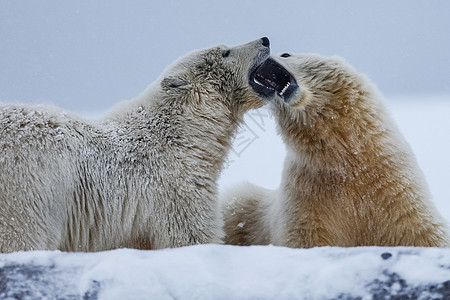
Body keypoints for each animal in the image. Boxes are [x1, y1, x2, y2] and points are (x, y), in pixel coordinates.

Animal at [0, 37, 270, 253]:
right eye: (225, 51)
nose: (265, 40)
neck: (183, 136)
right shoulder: (175, 190)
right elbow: (190, 236)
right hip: (28, 188)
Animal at [222, 52, 450, 248]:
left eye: (286, 54)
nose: (262, 59)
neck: (347, 160)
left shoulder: (394, 187)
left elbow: (421, 231)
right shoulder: (307, 196)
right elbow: (307, 236)